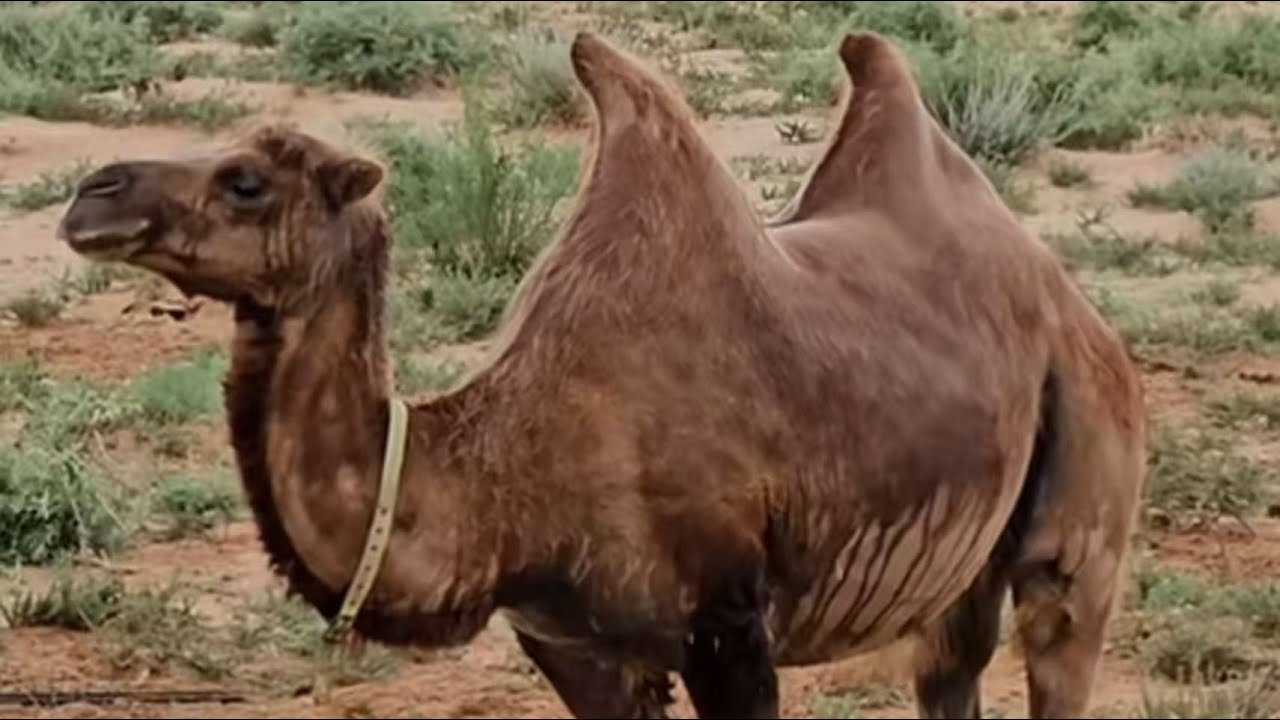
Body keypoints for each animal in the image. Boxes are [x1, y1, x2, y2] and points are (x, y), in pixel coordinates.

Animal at [55, 31, 1146, 720]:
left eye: (246, 181)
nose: (89, 193)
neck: (503, 485)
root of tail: (1070, 297)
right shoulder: (570, 644)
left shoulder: (729, 625)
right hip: (962, 556)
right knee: (947, 668)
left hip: (1083, 473)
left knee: (1058, 624)